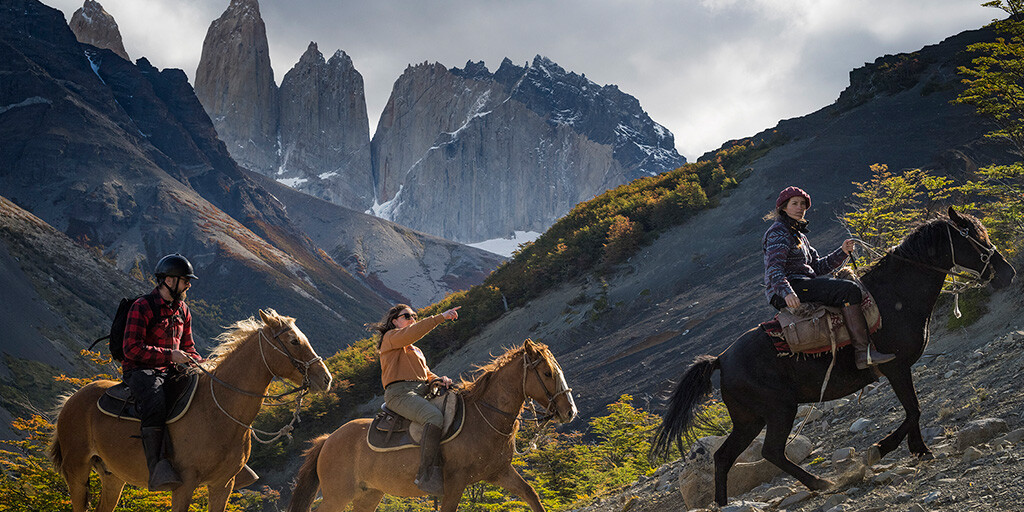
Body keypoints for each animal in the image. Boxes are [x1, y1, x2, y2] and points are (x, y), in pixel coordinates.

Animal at [50, 309, 333, 512]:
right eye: (294, 341)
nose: (326, 378)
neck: (218, 412)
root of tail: (71, 400)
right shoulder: (184, 486)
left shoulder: (223, 485)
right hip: (77, 471)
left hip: (113, 477)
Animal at [286, 338, 577, 512]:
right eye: (547, 373)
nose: (569, 411)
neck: (483, 418)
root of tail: (327, 440)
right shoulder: (455, 484)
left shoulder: (500, 473)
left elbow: (531, 494)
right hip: (338, 496)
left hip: (368, 495)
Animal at [651, 207, 1017, 506]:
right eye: (975, 238)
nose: (1008, 273)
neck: (895, 297)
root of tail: (722, 359)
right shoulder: (895, 368)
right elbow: (913, 409)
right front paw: (882, 449)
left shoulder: (900, 371)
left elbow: (914, 410)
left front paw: (919, 451)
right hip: (778, 410)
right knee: (770, 451)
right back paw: (821, 483)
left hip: (749, 419)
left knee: (725, 457)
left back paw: (728, 502)